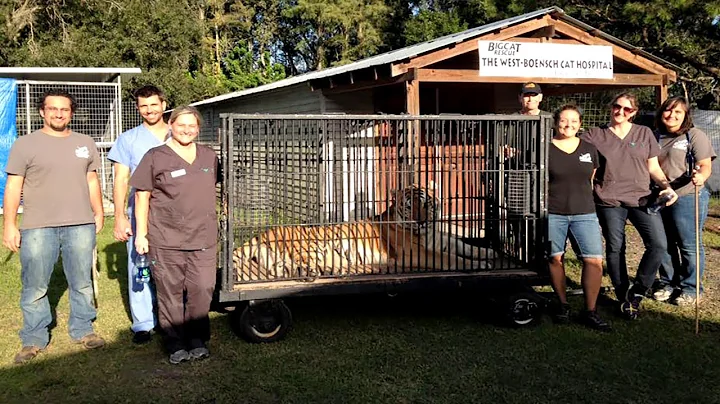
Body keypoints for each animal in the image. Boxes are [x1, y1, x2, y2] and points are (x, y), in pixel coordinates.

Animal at [233, 185, 498, 280]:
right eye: (409, 207)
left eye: (426, 204)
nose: (421, 221)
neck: (427, 232)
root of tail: (262, 234)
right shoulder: (415, 252)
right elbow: (450, 258)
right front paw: (479, 265)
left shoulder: (441, 239)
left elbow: (465, 246)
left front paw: (489, 255)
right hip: (313, 246)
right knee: (309, 266)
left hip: (283, 259)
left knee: (282, 270)